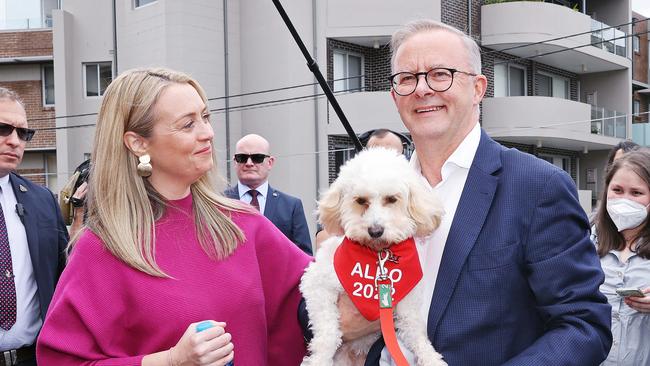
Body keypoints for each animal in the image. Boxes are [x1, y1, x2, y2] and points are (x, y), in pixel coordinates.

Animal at [300, 147, 446, 364]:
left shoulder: (406, 304)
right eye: (361, 201)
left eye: (392, 199)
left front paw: (430, 358)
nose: (375, 231)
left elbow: (416, 332)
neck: (377, 257)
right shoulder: (316, 284)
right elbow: (328, 332)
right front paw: (319, 360)